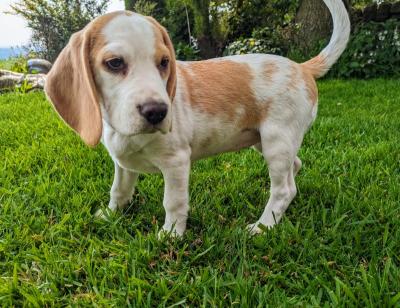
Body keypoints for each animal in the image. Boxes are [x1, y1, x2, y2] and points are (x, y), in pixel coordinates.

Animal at [44, 0, 350, 237]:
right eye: (114, 63)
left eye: (164, 63)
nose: (158, 112)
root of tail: (302, 67)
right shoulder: (123, 164)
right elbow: (118, 191)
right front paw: (110, 216)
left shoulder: (176, 162)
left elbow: (174, 202)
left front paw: (170, 236)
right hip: (264, 141)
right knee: (293, 171)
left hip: (276, 141)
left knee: (284, 189)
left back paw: (263, 226)